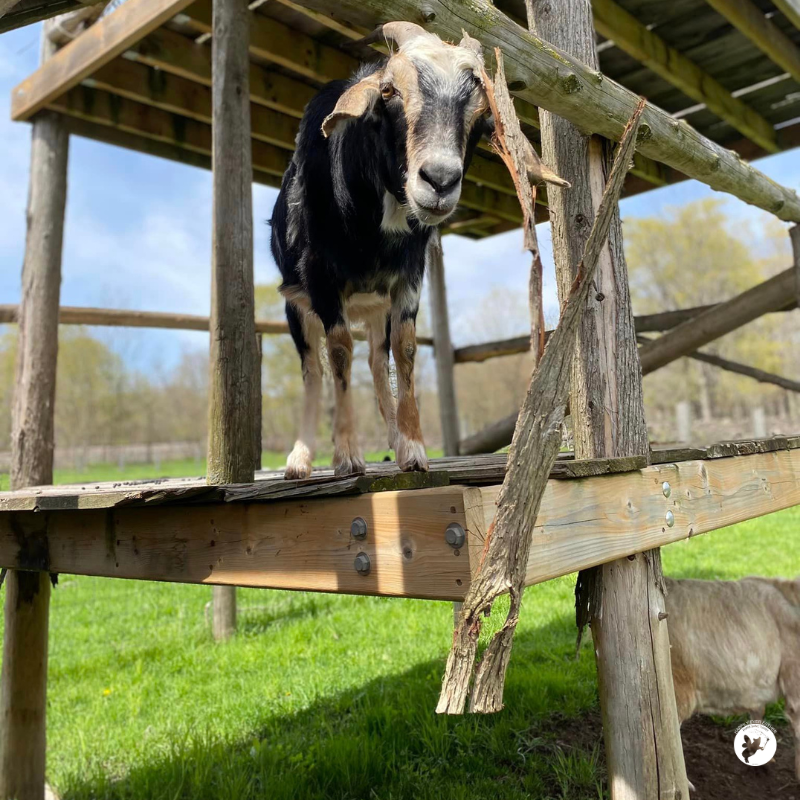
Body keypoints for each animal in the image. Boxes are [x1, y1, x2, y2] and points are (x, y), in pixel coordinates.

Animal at [272, 21, 564, 478]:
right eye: (388, 91)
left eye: (483, 114)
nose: (439, 180)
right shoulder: (321, 277)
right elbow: (338, 352)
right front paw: (347, 457)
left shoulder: (408, 277)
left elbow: (405, 349)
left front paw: (412, 449)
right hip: (295, 305)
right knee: (312, 368)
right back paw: (300, 460)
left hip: (375, 307)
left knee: (377, 361)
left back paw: (391, 436)